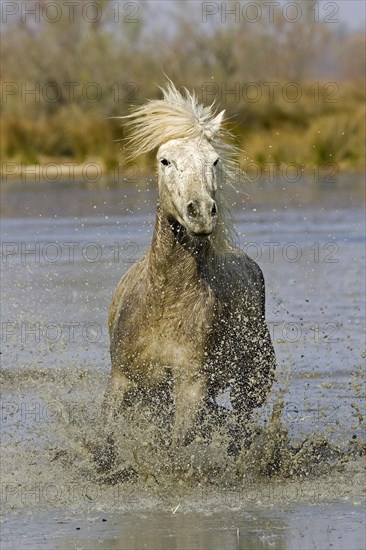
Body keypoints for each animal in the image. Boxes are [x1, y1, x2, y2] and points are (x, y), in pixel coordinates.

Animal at [101, 83, 276, 470]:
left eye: (214, 160)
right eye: (165, 161)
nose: (201, 213)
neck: (165, 301)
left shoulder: (192, 384)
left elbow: (177, 444)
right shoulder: (123, 379)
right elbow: (106, 437)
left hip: (252, 379)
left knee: (239, 422)